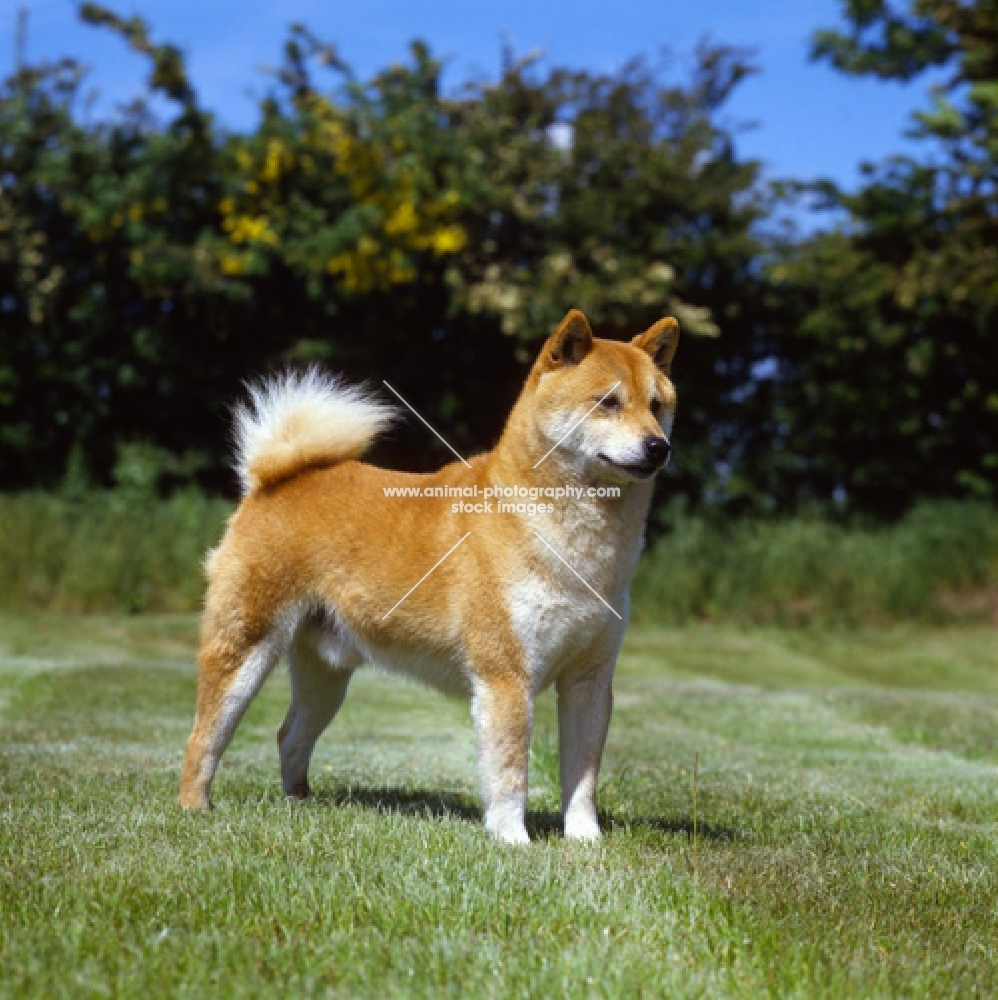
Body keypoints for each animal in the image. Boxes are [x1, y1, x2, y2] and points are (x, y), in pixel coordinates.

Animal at [180, 308, 680, 840]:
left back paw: (300, 803)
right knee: (204, 738)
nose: (658, 446)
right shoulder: (506, 677)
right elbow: (510, 773)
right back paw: (194, 809)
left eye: (657, 405)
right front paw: (513, 841)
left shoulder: (589, 681)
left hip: (326, 676)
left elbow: (582, 777)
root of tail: (270, 482)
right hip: (246, 650)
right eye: (608, 402)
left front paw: (586, 841)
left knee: (289, 735)